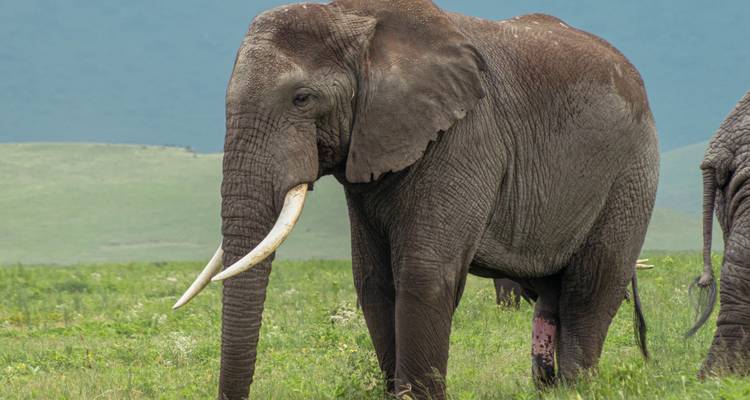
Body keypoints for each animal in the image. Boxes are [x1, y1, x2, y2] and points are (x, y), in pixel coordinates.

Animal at [173, 1, 658, 398]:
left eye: (302, 98)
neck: (355, 18)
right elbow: (373, 280)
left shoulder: (466, 134)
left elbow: (423, 274)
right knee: (551, 293)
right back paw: (550, 389)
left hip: (631, 173)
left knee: (591, 286)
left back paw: (579, 388)